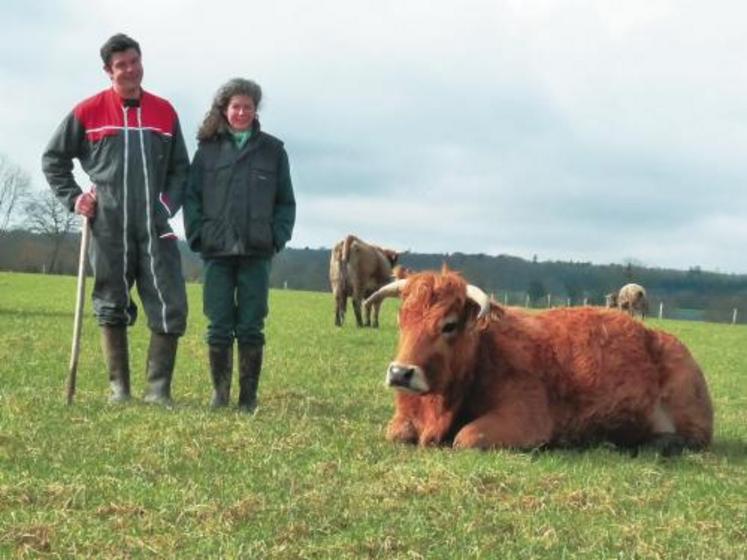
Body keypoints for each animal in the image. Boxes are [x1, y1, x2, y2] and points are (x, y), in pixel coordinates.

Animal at [366, 268, 716, 456]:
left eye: (449, 325)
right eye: (401, 319)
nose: (400, 373)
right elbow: (395, 432)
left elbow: (466, 438)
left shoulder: (525, 419)